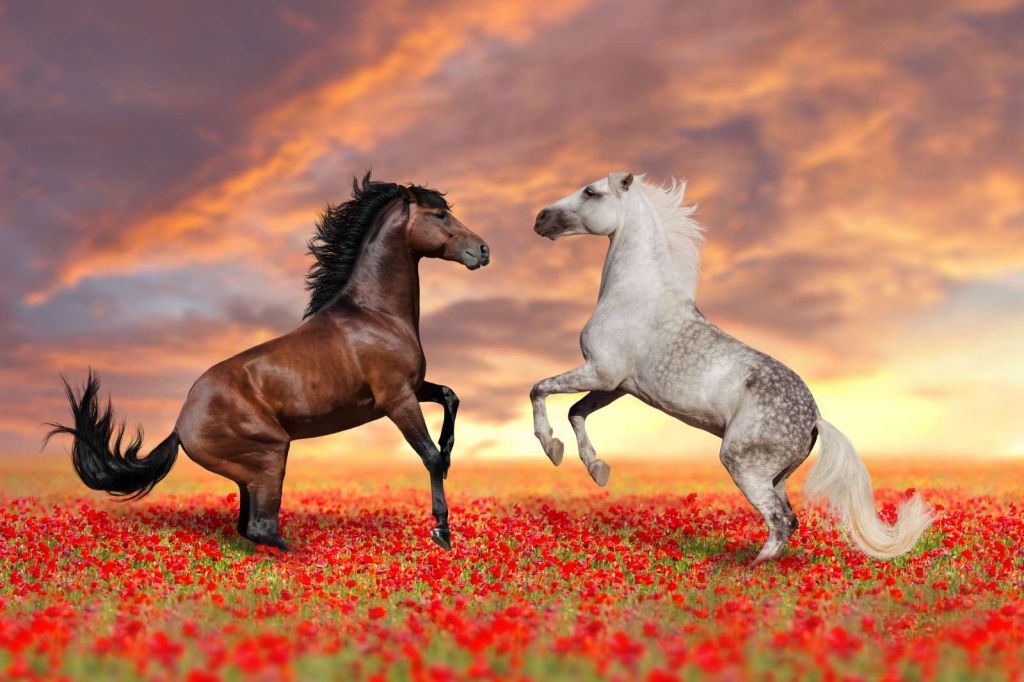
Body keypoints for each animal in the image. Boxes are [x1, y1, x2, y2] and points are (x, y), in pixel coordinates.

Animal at [47, 172, 490, 552]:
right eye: (440, 214)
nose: (483, 250)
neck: (374, 313)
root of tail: (179, 425)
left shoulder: (413, 388)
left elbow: (450, 396)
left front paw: (451, 450)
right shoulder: (396, 399)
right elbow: (429, 456)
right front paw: (442, 531)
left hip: (253, 471)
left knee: (249, 528)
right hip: (271, 456)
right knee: (262, 530)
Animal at [530, 171, 933, 563]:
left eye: (590, 192)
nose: (540, 219)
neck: (635, 296)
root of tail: (816, 419)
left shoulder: (601, 371)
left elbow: (539, 389)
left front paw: (551, 448)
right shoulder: (617, 385)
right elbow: (576, 411)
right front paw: (596, 469)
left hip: (741, 463)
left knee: (780, 519)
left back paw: (749, 567)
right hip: (776, 476)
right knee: (789, 518)